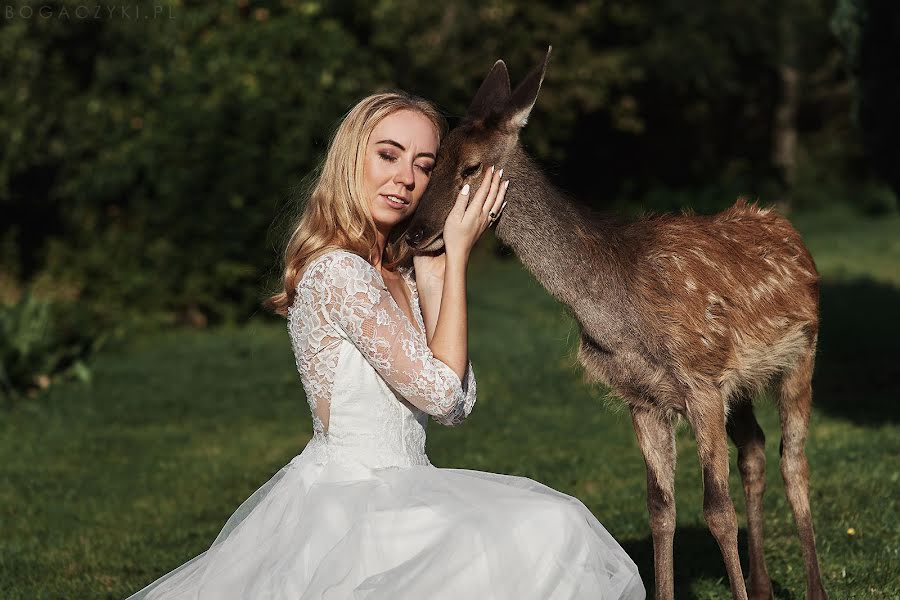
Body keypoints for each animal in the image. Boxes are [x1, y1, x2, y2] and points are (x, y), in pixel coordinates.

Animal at [404, 48, 828, 600]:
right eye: (430, 163)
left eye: (471, 166)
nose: (414, 233)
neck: (618, 321)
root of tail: (789, 230)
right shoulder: (643, 397)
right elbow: (661, 509)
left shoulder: (700, 380)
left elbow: (716, 509)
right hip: (741, 380)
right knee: (754, 449)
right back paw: (761, 587)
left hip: (802, 352)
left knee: (792, 460)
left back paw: (812, 586)